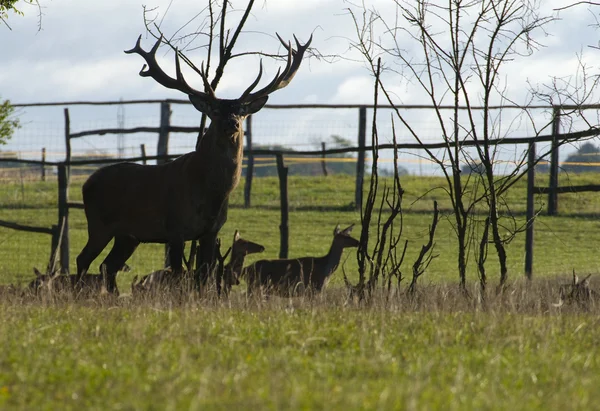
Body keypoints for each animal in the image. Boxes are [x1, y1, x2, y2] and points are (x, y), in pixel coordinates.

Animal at [76, 33, 310, 294]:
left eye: (241, 110)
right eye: (215, 110)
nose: (232, 123)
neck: (211, 193)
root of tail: (87, 182)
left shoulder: (211, 231)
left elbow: (203, 276)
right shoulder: (175, 228)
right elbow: (178, 275)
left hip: (128, 235)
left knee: (108, 266)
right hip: (99, 223)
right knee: (84, 259)